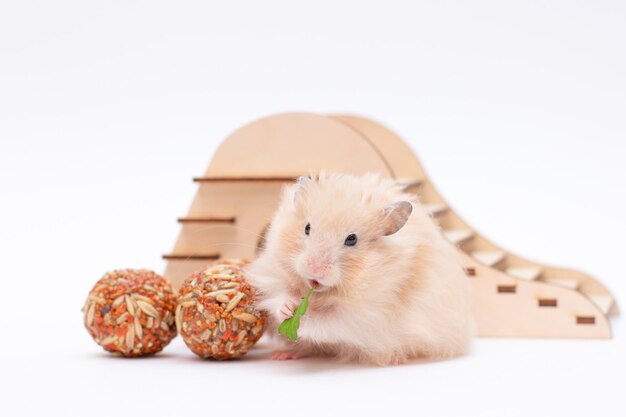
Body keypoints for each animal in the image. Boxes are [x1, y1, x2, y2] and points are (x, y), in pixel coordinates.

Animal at [246, 171, 470, 362]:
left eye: (351, 239)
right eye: (307, 228)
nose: (315, 271)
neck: (322, 295)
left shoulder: (362, 316)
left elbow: (327, 321)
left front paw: (304, 321)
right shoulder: (272, 276)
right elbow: (279, 296)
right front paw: (289, 309)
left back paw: (395, 359)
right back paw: (282, 355)